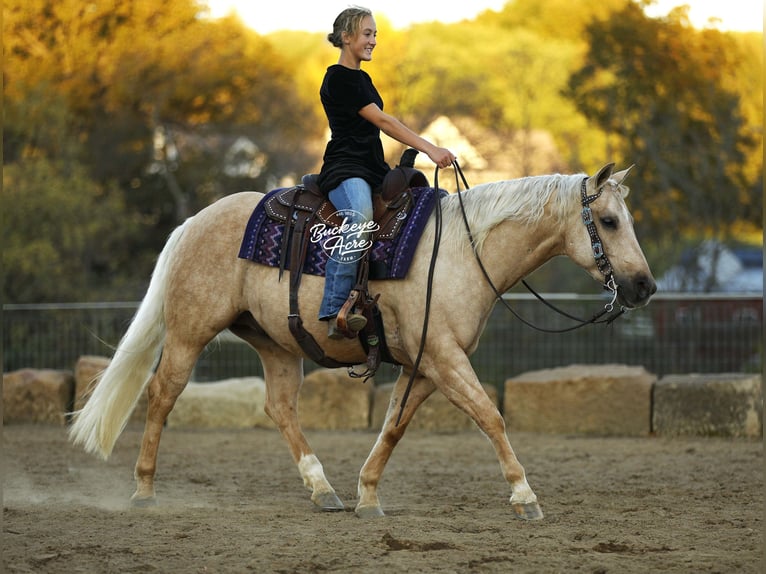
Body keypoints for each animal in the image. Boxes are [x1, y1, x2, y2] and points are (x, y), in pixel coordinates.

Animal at [69, 163, 656, 520]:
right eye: (608, 220)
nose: (644, 287)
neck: (463, 251)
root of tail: (192, 221)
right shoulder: (445, 358)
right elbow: (491, 416)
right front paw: (524, 495)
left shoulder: (425, 365)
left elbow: (393, 427)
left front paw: (367, 494)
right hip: (191, 332)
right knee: (162, 395)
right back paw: (144, 489)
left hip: (276, 343)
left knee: (279, 408)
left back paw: (322, 489)